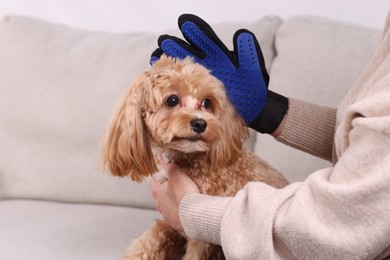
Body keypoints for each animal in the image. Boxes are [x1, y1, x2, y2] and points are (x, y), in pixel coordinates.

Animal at [100, 55, 290, 260]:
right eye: (172, 100)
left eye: (206, 102)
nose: (200, 123)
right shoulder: (170, 224)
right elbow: (149, 241)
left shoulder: (198, 234)